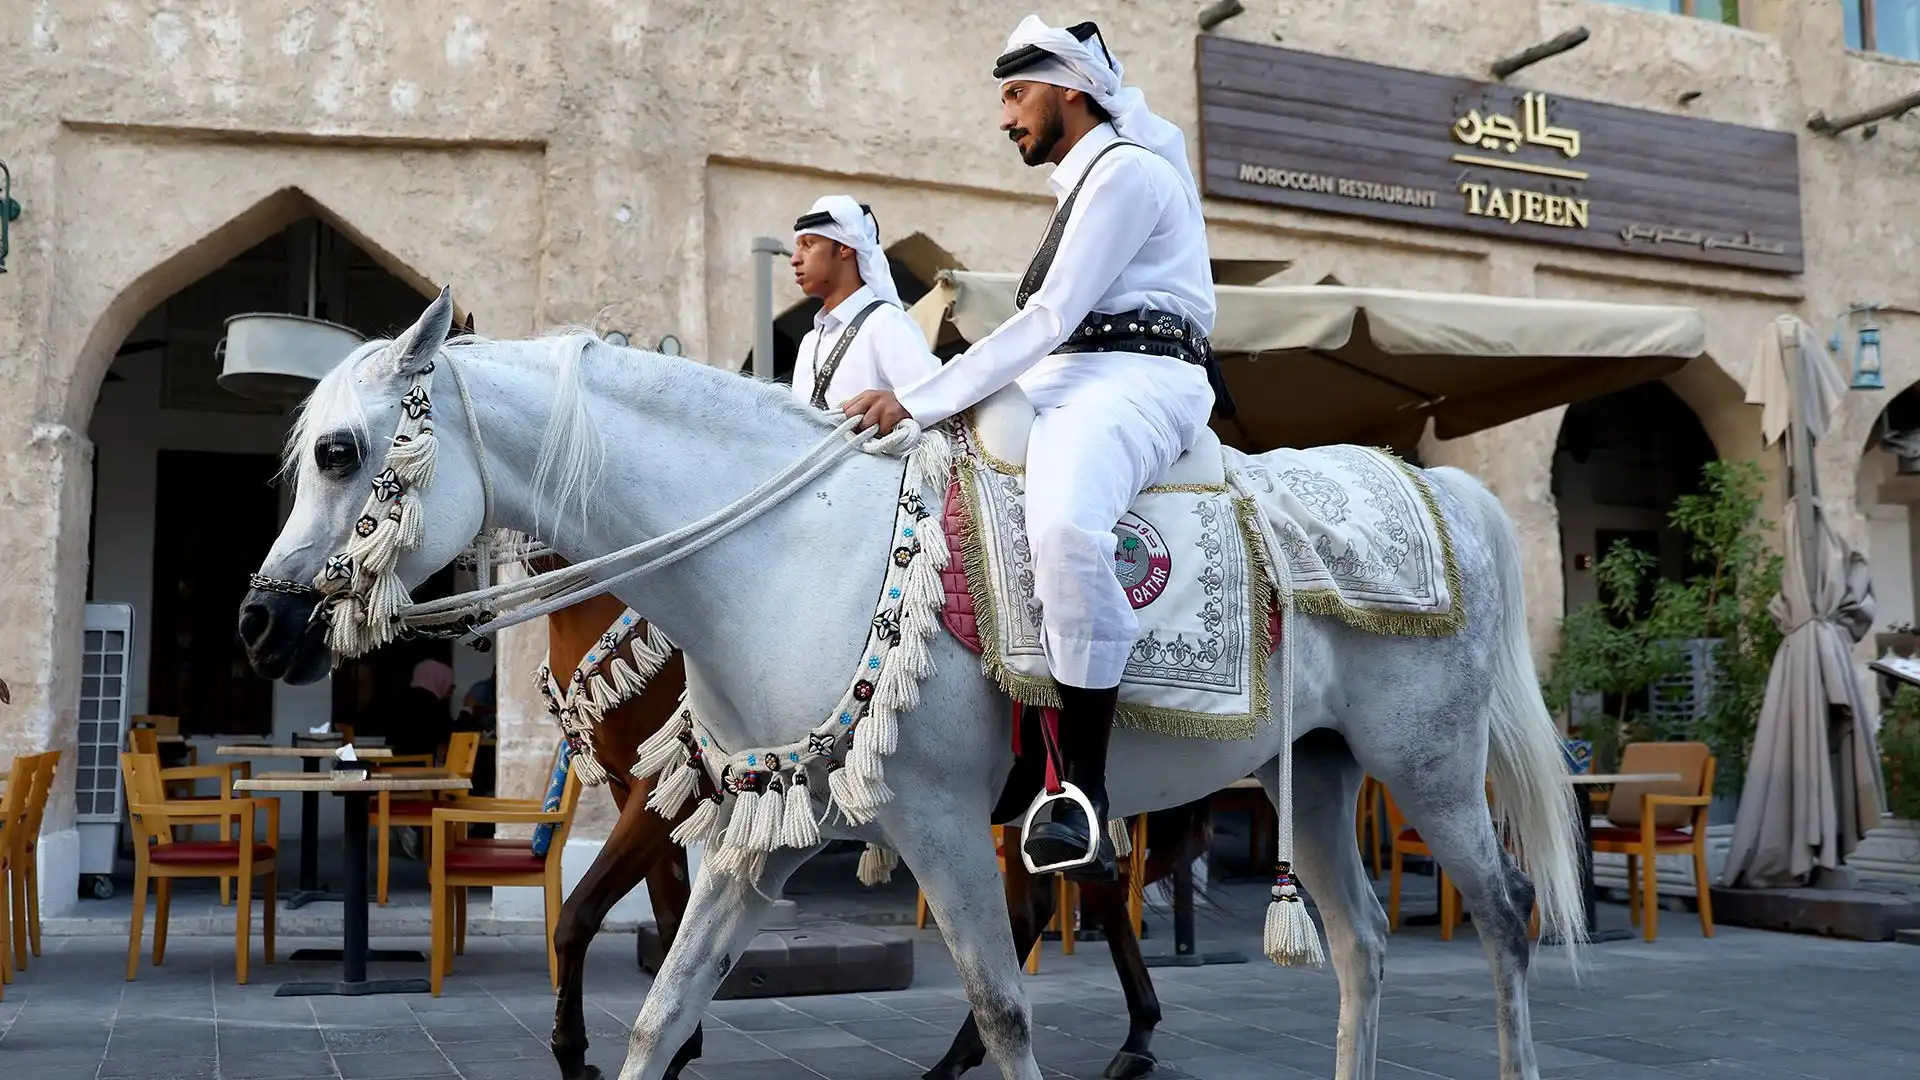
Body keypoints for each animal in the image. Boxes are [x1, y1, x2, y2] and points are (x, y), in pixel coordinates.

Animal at [240, 288, 1589, 1076]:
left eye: (342, 451)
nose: (261, 626)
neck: (788, 552)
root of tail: (1434, 484)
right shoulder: (757, 834)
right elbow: (661, 1004)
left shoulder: (937, 826)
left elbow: (1004, 1010)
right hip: (1313, 776)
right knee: (1362, 948)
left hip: (1429, 769)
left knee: (1508, 917)